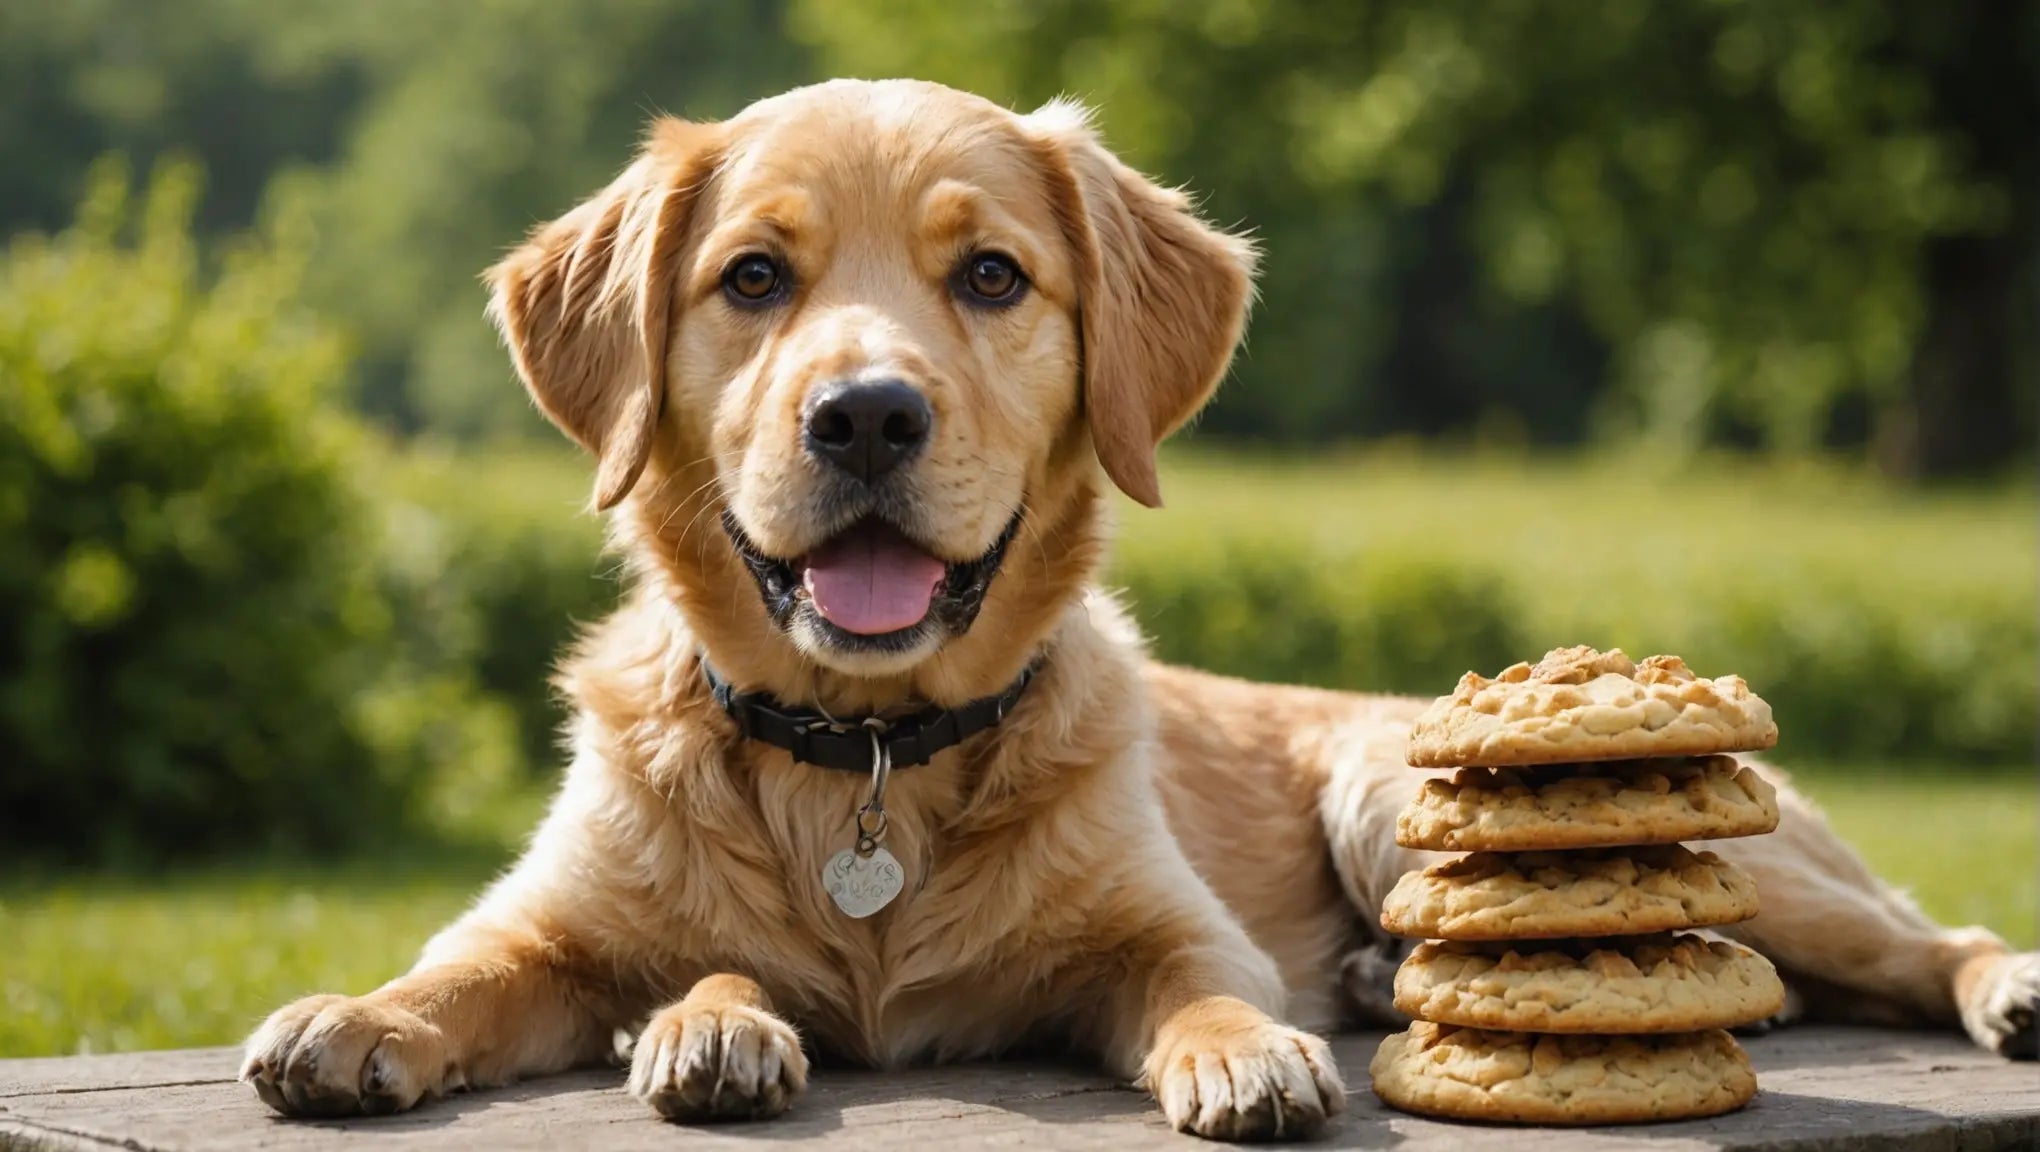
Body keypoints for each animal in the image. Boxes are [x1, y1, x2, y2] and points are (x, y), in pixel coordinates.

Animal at [242, 83, 2040, 1141]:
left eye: (992, 276)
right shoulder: (542, 920)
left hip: (1418, 793)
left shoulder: (1163, 922)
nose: (868, 417)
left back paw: (2004, 985)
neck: (865, 761)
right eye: (753, 278)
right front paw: (368, 1016)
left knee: (1900, 940)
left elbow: (1201, 977)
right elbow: (474, 975)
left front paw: (1249, 1051)